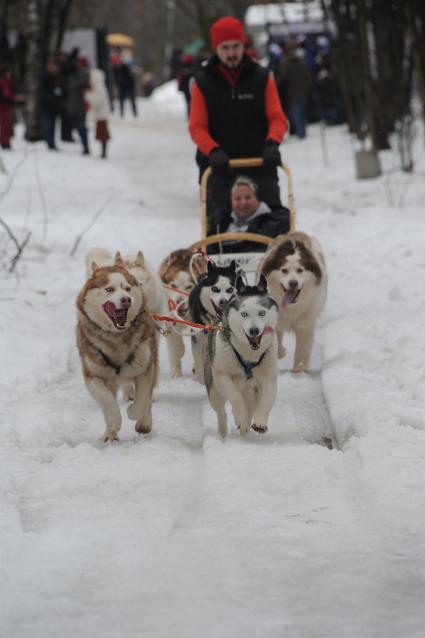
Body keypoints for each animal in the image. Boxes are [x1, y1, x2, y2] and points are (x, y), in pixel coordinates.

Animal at [76, 252, 157, 442]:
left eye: (127, 289)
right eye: (109, 289)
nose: (126, 300)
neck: (116, 338)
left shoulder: (144, 367)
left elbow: (142, 398)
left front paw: (134, 413)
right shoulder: (93, 373)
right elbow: (106, 399)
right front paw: (114, 422)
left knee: (147, 398)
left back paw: (144, 423)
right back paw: (110, 434)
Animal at [158, 249, 206, 380]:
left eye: (189, 286)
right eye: (173, 285)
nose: (179, 304)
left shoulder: (199, 328)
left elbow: (199, 352)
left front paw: (201, 378)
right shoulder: (170, 321)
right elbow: (175, 350)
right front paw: (176, 374)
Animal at [205, 276, 278, 440]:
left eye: (262, 313)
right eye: (244, 314)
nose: (254, 330)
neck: (249, 355)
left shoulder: (268, 378)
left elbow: (266, 400)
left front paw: (260, 422)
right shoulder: (222, 376)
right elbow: (235, 398)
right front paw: (242, 419)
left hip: (252, 390)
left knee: (252, 405)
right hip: (214, 390)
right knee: (221, 412)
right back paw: (224, 431)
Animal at [256, 232, 326, 376]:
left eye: (300, 270)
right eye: (284, 270)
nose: (293, 283)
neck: (291, 307)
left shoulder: (305, 324)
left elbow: (302, 349)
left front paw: (299, 370)